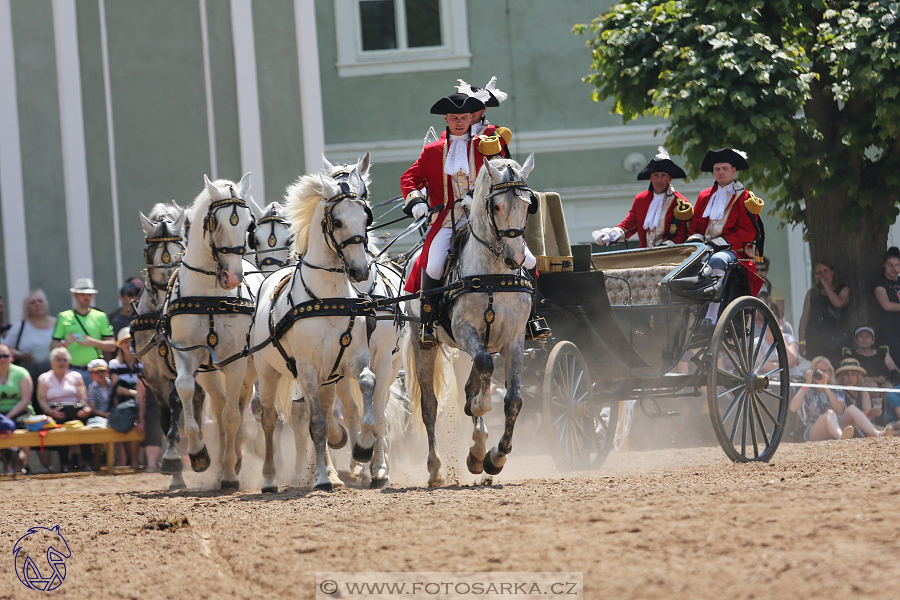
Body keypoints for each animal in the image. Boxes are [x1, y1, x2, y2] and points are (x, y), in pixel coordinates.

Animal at [166, 173, 262, 488]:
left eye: (248, 224)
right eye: (215, 222)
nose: (232, 277)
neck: (210, 295)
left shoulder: (236, 360)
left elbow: (233, 417)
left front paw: (231, 474)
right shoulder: (186, 351)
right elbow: (185, 389)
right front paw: (199, 454)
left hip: (249, 369)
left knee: (238, 406)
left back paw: (235, 460)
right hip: (209, 371)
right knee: (218, 408)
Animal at [250, 162, 376, 490]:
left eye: (365, 218)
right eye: (338, 221)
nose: (360, 271)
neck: (328, 299)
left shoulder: (353, 360)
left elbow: (366, 384)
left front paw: (362, 447)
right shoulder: (306, 367)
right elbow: (315, 424)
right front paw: (320, 477)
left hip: (327, 377)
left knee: (327, 411)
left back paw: (333, 460)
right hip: (268, 372)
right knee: (270, 419)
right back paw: (270, 477)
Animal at [400, 156, 536, 488]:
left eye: (528, 205)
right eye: (496, 206)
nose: (516, 258)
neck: (493, 274)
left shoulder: (514, 340)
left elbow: (513, 399)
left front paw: (495, 457)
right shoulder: (465, 331)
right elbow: (484, 374)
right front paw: (480, 407)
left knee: (471, 383)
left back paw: (476, 452)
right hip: (426, 343)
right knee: (430, 405)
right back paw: (436, 468)